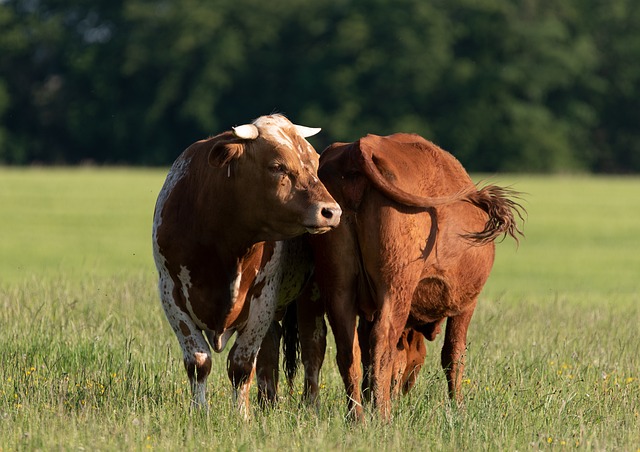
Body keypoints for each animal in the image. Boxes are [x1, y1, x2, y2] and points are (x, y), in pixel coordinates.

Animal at [151, 114, 340, 416]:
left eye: (315, 164)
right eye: (277, 166)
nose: (331, 211)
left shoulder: (263, 297)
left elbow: (241, 365)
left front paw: (241, 414)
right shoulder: (171, 292)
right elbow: (198, 361)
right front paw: (199, 411)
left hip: (310, 293)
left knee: (313, 346)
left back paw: (310, 405)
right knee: (271, 348)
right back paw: (268, 402)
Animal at [302, 132, 524, 420]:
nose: (406, 389)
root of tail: (362, 146)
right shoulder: (466, 304)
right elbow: (454, 353)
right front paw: (458, 407)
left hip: (339, 288)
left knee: (348, 349)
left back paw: (358, 418)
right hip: (396, 286)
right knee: (382, 340)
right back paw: (383, 416)